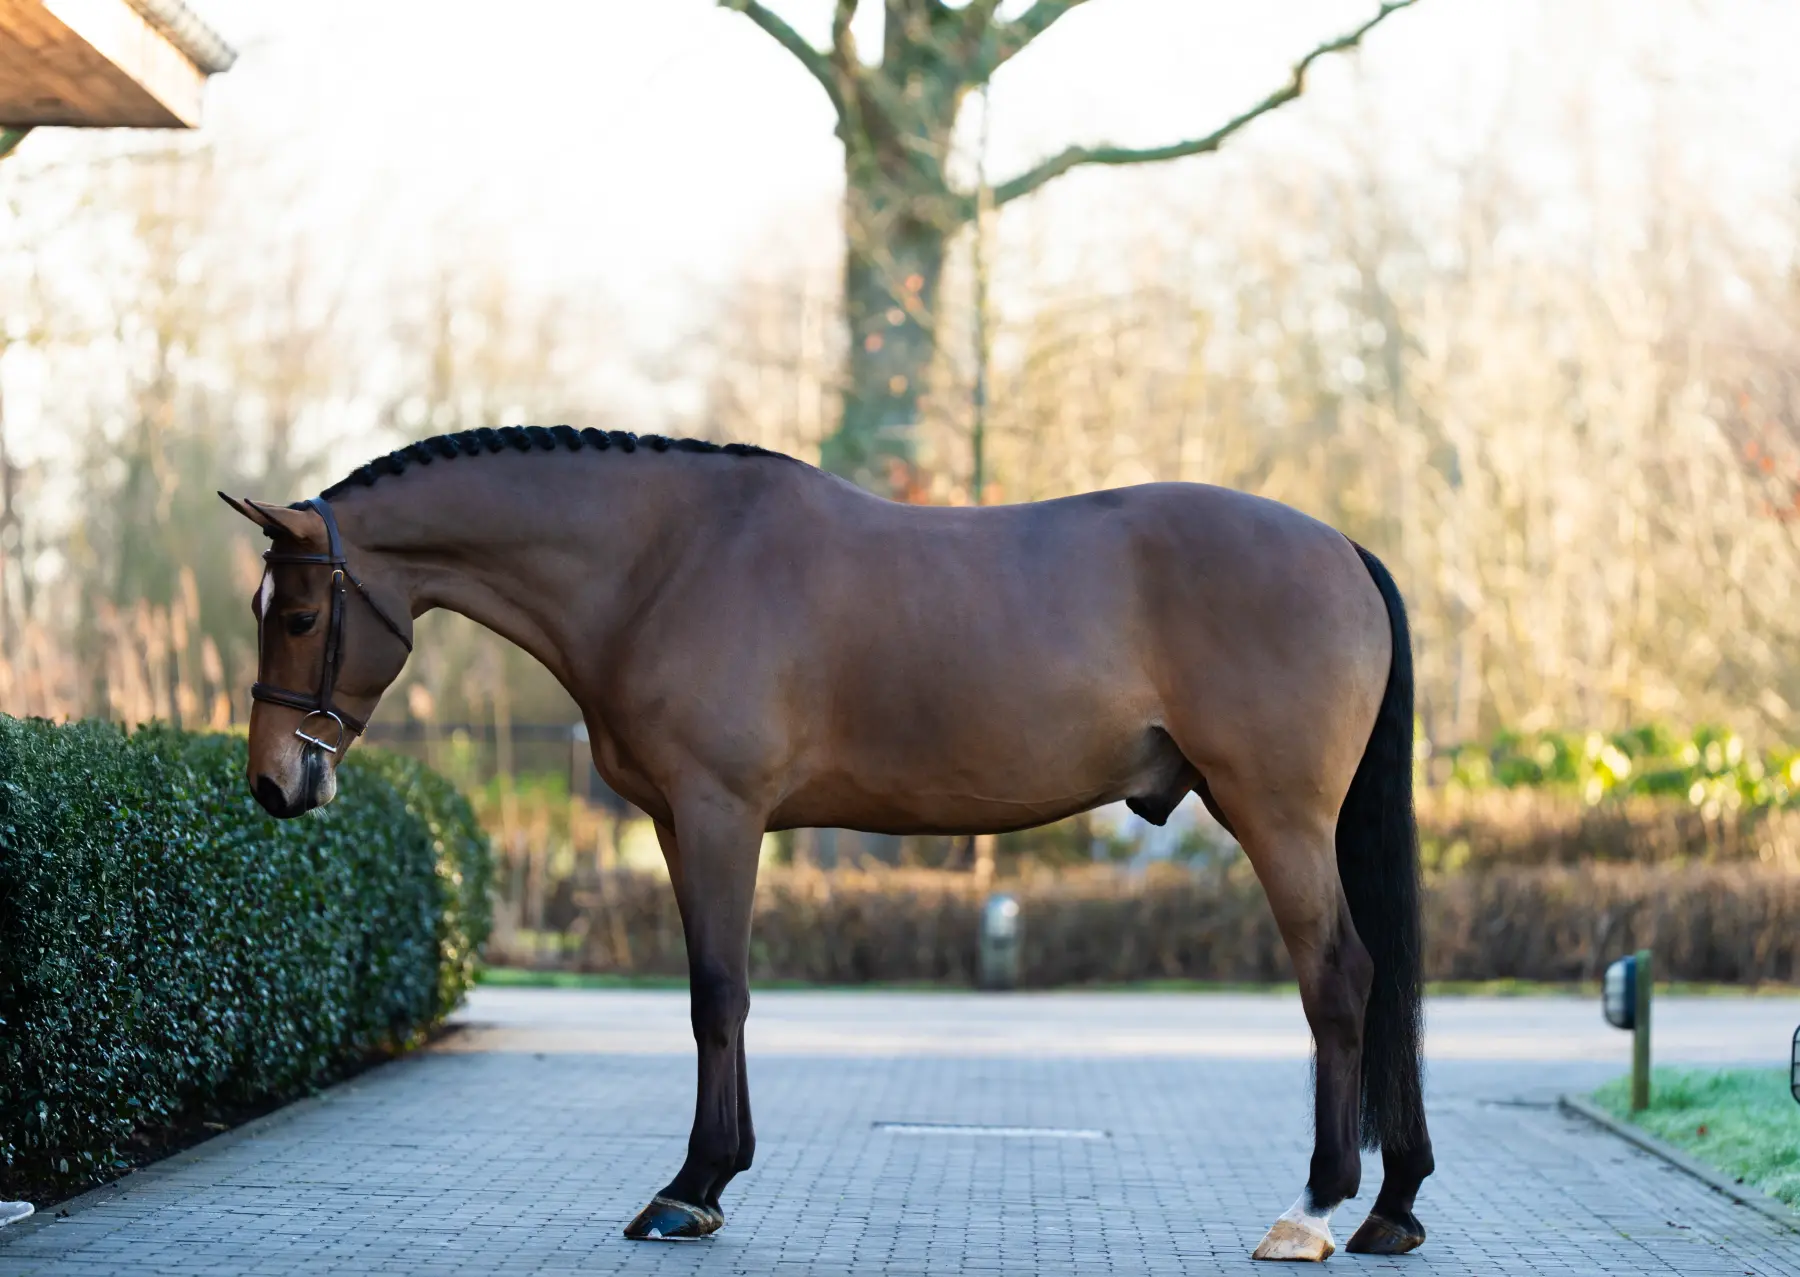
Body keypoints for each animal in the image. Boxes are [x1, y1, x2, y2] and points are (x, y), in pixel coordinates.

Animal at [221, 424, 1433, 1261]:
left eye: (298, 615)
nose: (277, 782)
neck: (664, 560)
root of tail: (1343, 549)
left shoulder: (720, 812)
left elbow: (717, 993)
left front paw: (689, 1187)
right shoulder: (680, 823)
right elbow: (718, 990)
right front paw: (712, 1179)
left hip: (1276, 814)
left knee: (1339, 978)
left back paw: (1315, 1207)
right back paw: (1394, 1204)